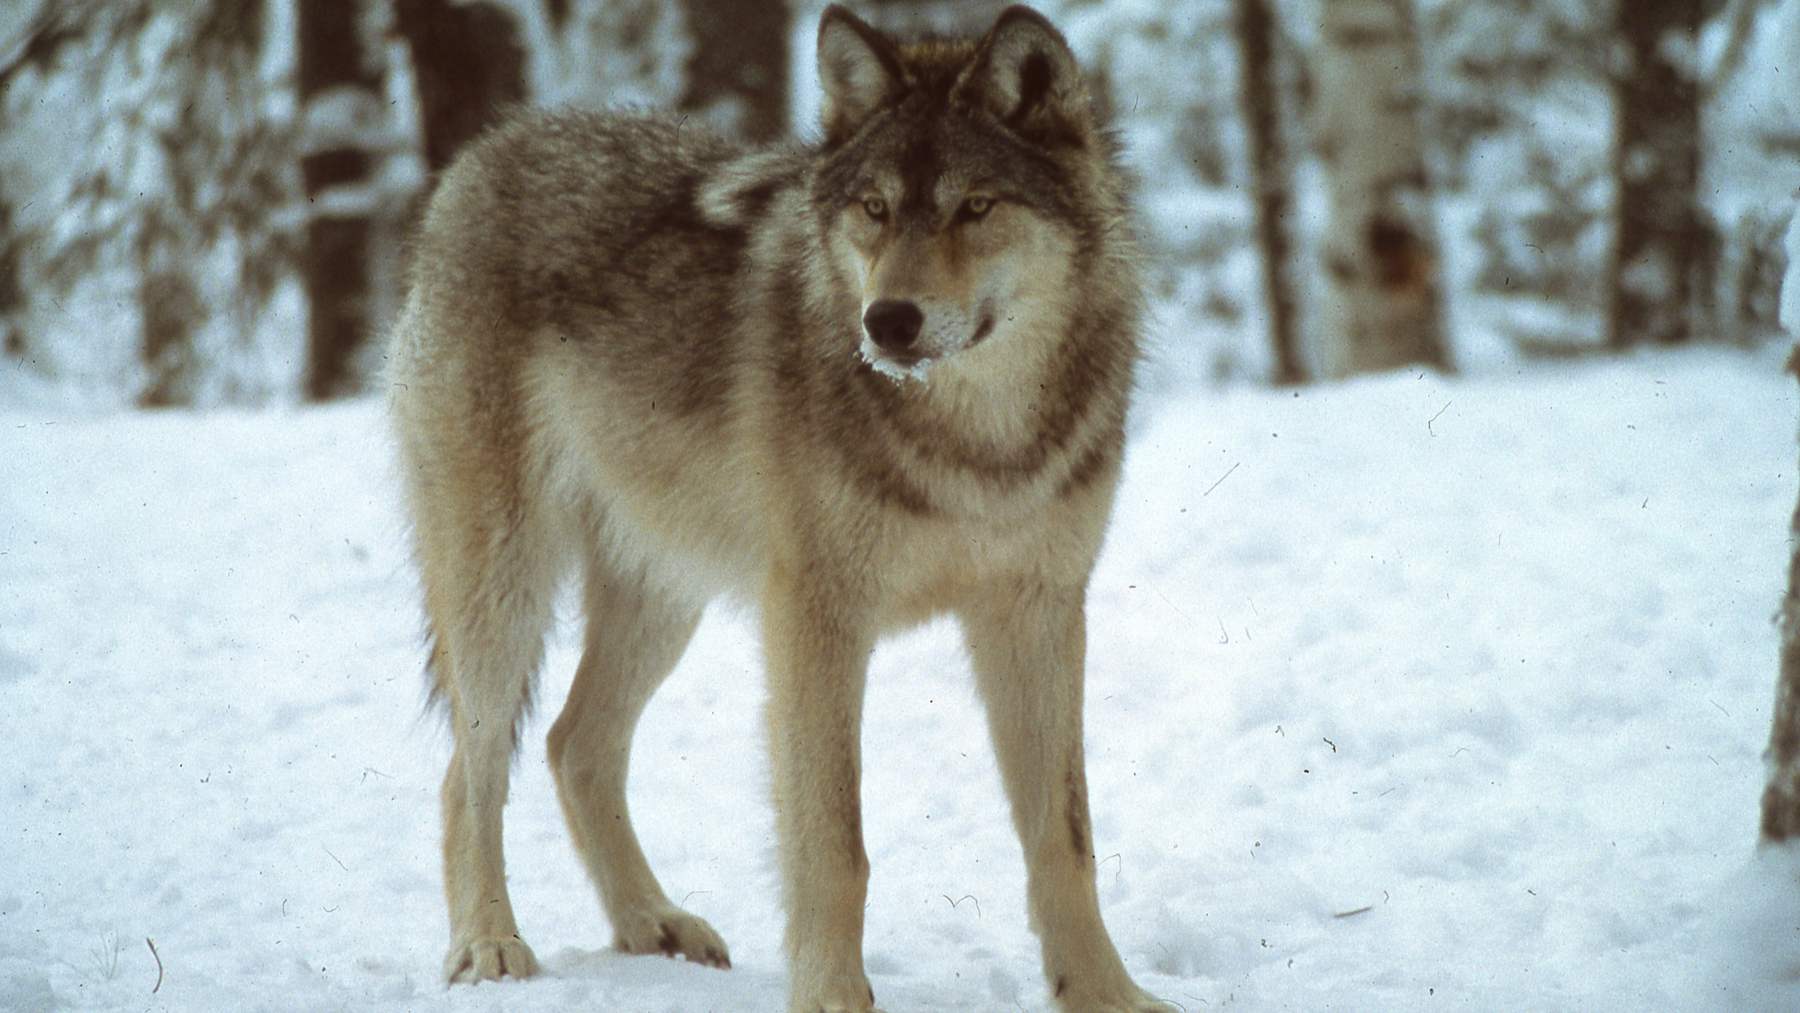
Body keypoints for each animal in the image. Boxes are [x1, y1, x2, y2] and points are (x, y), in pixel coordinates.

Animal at [387, 4, 1159, 1009]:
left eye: (974, 208)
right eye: (874, 209)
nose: (887, 322)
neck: (976, 442)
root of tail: (483, 155)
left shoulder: (1039, 612)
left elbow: (1064, 839)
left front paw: (1108, 993)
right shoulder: (817, 617)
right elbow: (835, 843)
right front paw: (831, 993)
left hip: (664, 596)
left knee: (571, 744)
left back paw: (652, 923)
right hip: (504, 591)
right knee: (467, 770)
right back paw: (487, 943)